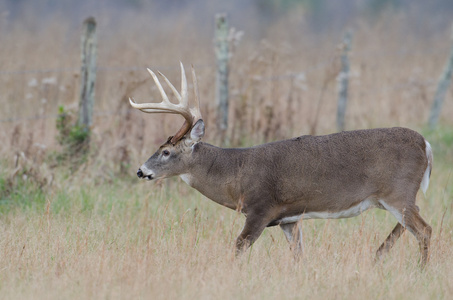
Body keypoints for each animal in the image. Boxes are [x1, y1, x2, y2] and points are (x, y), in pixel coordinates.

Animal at [129, 62, 432, 266]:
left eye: (166, 151)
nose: (141, 171)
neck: (235, 172)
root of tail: (425, 144)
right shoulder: (289, 218)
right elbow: (298, 255)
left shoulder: (261, 208)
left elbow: (237, 248)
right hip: (395, 197)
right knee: (411, 225)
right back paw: (379, 255)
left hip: (397, 192)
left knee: (424, 230)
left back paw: (420, 269)